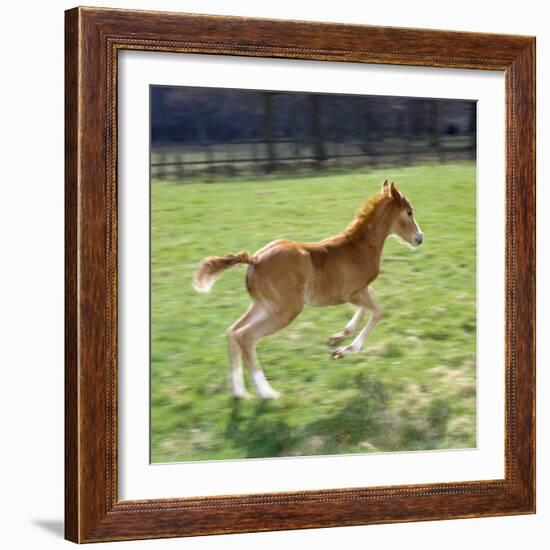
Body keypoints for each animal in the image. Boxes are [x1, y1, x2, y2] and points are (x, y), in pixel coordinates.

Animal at [194, 181, 426, 402]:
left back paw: (239, 393)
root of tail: (255, 260)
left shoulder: (360, 290)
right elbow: (378, 311)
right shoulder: (353, 293)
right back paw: (267, 393)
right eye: (408, 212)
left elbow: (365, 311)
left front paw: (336, 340)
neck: (359, 247)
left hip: (263, 306)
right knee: (246, 337)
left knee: (233, 332)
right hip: (286, 310)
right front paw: (345, 350)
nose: (420, 238)